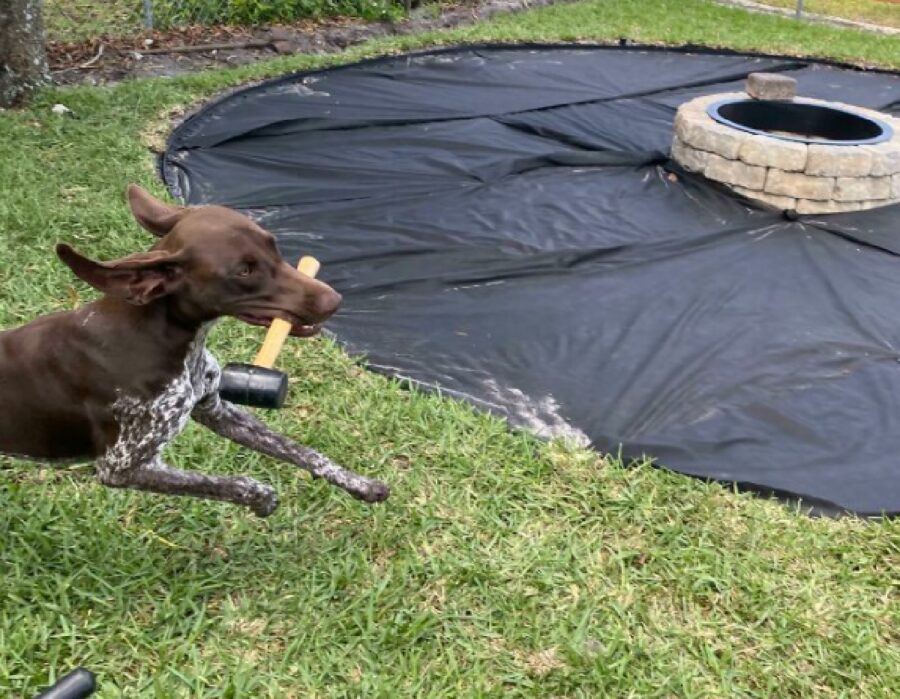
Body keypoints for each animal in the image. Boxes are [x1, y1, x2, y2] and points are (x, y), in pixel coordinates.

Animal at [1, 185, 392, 516]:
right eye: (244, 270)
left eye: (274, 245)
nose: (334, 301)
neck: (164, 337)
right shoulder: (121, 466)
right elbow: (233, 483)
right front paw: (262, 497)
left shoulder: (216, 408)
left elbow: (298, 450)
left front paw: (359, 483)